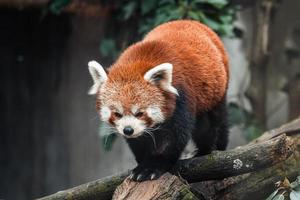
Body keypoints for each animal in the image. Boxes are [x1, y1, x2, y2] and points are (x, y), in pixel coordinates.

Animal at [88, 19, 229, 181]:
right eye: (117, 114)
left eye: (140, 113)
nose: (128, 130)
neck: (141, 58)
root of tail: (189, 21)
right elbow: (139, 141)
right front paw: (142, 163)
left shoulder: (181, 98)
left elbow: (174, 137)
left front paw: (152, 167)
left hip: (216, 88)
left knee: (212, 123)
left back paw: (211, 149)